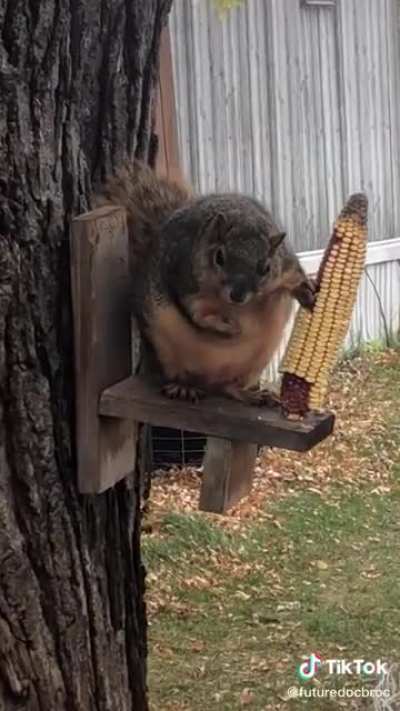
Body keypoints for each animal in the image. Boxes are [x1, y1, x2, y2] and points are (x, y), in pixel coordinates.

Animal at [97, 162, 316, 406]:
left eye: (265, 268)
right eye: (219, 257)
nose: (238, 294)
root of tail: (208, 381)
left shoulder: (285, 265)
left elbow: (294, 277)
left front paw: (308, 292)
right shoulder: (184, 277)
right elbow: (197, 315)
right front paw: (229, 327)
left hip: (257, 359)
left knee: (228, 387)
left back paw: (252, 395)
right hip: (162, 348)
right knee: (177, 374)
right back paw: (183, 387)